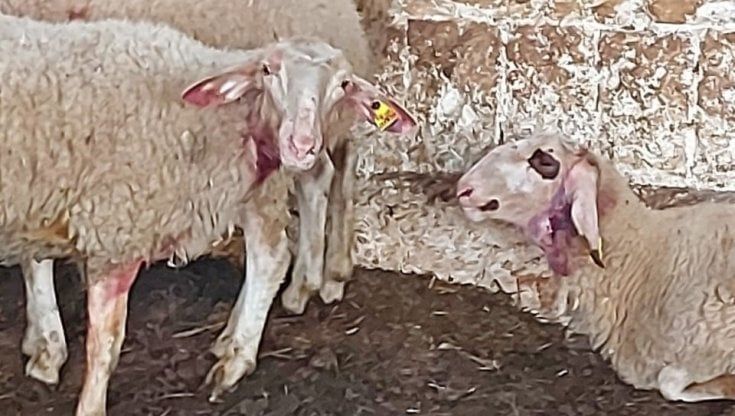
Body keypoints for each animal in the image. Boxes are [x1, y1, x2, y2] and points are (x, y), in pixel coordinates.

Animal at [0, 14, 414, 415]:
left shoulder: (117, 229)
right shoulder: (49, 202)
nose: (301, 144)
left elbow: (105, 344)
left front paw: (83, 396)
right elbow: (41, 267)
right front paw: (46, 348)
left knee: (278, 246)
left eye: (343, 84)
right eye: (268, 70)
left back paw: (259, 333)